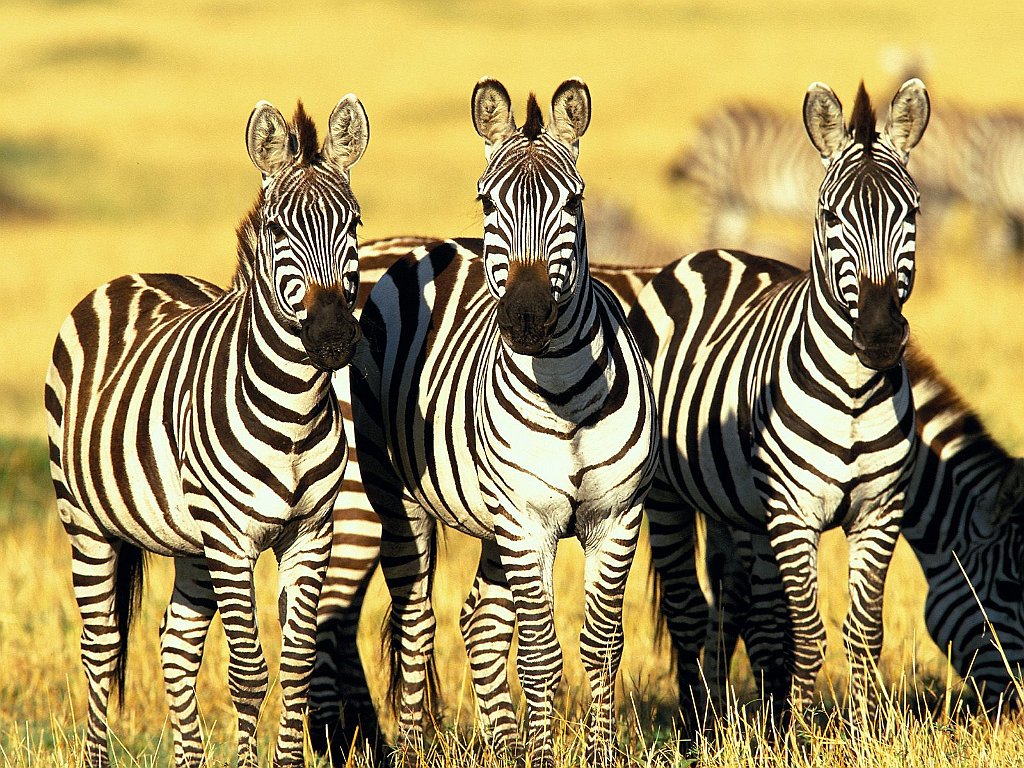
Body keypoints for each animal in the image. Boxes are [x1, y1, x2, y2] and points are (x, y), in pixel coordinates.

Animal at [46, 97, 372, 768]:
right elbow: (248, 673)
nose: (333, 340)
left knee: (175, 643)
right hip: (85, 521)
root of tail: (131, 276)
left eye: (353, 225)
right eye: (277, 231)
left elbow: (296, 668)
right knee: (100, 646)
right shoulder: (230, 538)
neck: (295, 412)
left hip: (187, 540)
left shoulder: (311, 532)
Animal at [350, 79, 655, 768]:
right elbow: (540, 653)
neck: (564, 392)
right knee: (418, 621)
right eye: (488, 202)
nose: (525, 319)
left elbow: (602, 644)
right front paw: (543, 757)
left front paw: (596, 752)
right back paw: (418, 747)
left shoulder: (616, 517)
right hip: (399, 496)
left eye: (573, 202)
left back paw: (506, 746)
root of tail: (423, 248)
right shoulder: (526, 520)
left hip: (493, 517)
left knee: (480, 621)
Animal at [626, 79, 933, 733]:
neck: (854, 392)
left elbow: (863, 632)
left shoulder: (880, 512)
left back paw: (725, 720)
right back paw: (695, 730)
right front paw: (804, 735)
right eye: (829, 215)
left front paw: (865, 732)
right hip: (665, 497)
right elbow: (808, 634)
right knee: (689, 610)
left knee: (734, 605)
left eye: (912, 213)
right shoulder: (794, 514)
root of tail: (709, 253)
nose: (878, 336)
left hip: (735, 508)